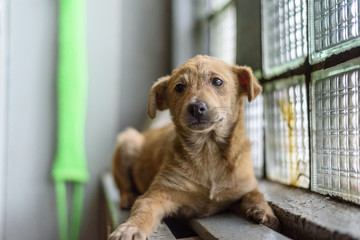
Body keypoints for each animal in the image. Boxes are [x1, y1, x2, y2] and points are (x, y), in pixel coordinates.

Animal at [109, 55, 278, 239]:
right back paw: (128, 198)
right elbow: (144, 211)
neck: (208, 150)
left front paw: (264, 211)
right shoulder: (159, 192)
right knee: (123, 185)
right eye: (179, 87)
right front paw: (130, 228)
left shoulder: (243, 186)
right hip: (127, 142)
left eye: (217, 81)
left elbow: (255, 193)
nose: (196, 107)